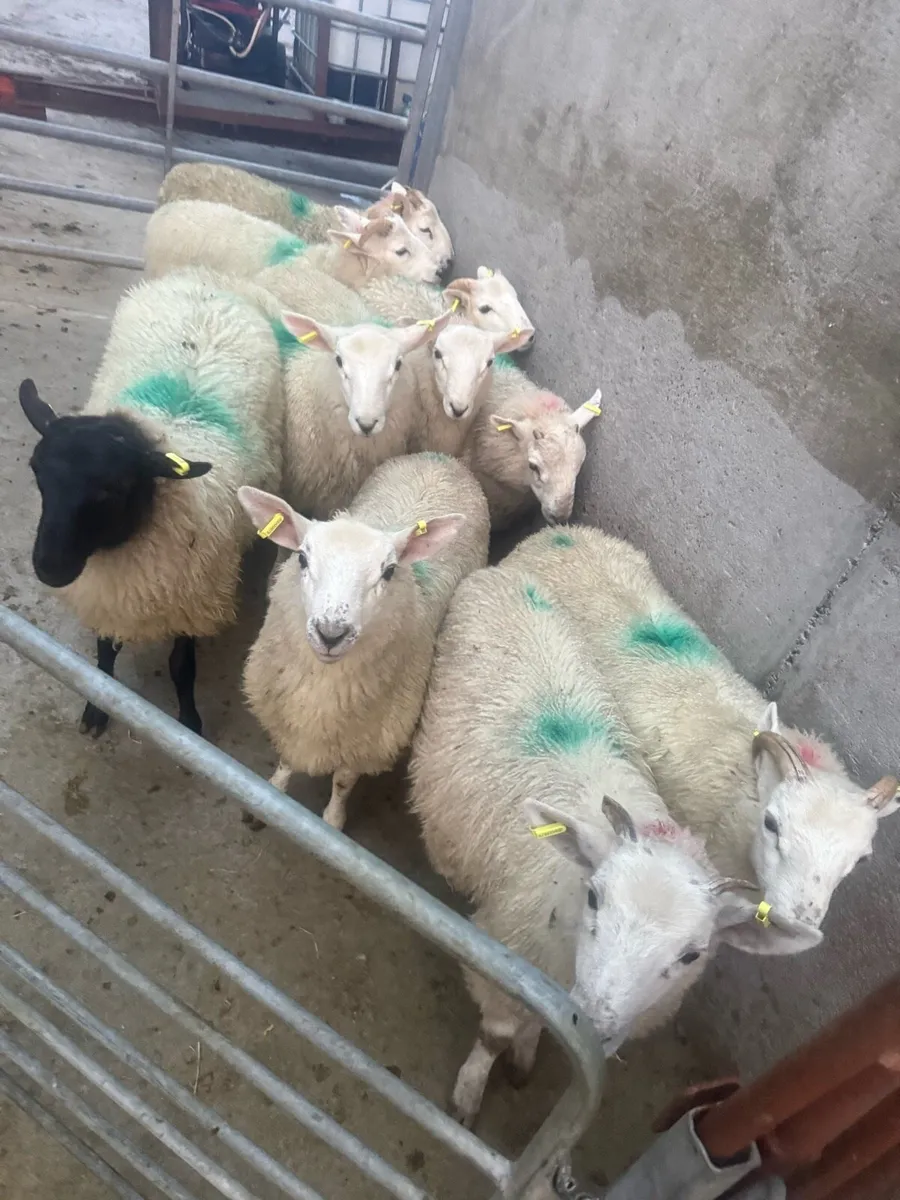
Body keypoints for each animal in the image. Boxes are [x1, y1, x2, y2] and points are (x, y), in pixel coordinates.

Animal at [18, 269, 283, 736]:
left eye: (116, 487)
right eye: (38, 472)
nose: (49, 567)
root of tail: (208, 277)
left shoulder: (192, 599)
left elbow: (182, 667)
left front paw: (189, 723)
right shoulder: (105, 593)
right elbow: (105, 653)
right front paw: (97, 708)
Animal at [238, 452, 490, 830]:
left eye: (389, 572)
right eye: (302, 558)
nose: (331, 633)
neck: (322, 690)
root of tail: (442, 459)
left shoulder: (368, 743)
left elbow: (342, 783)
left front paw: (331, 822)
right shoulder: (285, 714)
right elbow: (285, 760)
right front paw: (269, 796)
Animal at [407, 561, 766, 1128]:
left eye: (692, 954)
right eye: (595, 897)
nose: (596, 1025)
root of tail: (499, 574)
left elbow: (540, 1029)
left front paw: (526, 1057)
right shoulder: (510, 956)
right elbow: (496, 1033)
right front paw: (469, 1093)